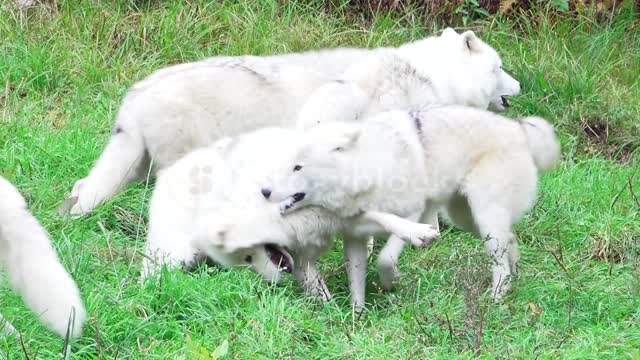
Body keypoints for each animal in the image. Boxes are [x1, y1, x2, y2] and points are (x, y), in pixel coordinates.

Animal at [264, 105, 560, 306]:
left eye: (298, 167)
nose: (264, 191)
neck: (368, 172)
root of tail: (518, 128)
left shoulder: (414, 213)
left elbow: (386, 258)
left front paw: (390, 282)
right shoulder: (355, 238)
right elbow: (356, 285)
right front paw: (356, 322)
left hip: (484, 218)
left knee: (499, 260)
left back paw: (496, 298)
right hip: (467, 219)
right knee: (510, 240)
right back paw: (514, 282)